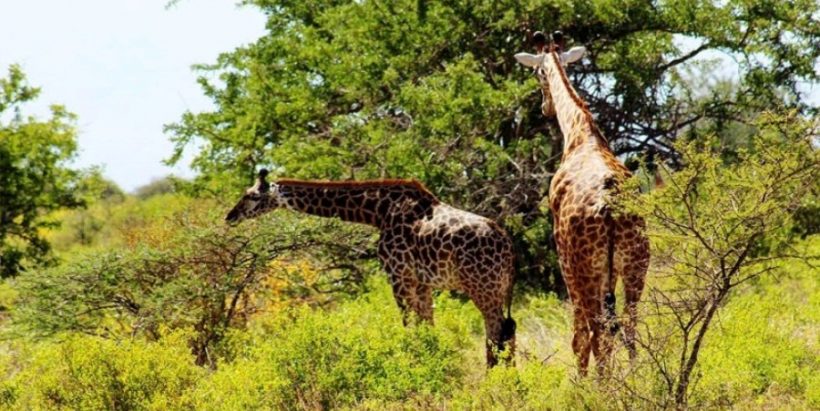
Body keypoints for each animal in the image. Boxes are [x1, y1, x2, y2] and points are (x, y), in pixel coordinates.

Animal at [227, 169, 516, 368]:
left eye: (252, 196)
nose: (230, 217)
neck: (378, 212)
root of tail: (507, 244)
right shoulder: (421, 281)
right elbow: (426, 326)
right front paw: (433, 363)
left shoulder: (398, 275)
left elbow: (409, 326)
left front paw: (415, 366)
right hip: (497, 289)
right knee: (507, 331)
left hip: (482, 288)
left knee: (496, 333)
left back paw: (493, 380)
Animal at [520, 30, 648, 374]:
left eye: (538, 74)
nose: (545, 108)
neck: (581, 133)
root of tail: (610, 207)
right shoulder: (611, 270)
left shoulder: (565, 259)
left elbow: (578, 337)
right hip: (636, 265)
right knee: (629, 327)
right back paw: (638, 379)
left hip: (583, 268)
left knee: (595, 332)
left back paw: (602, 384)